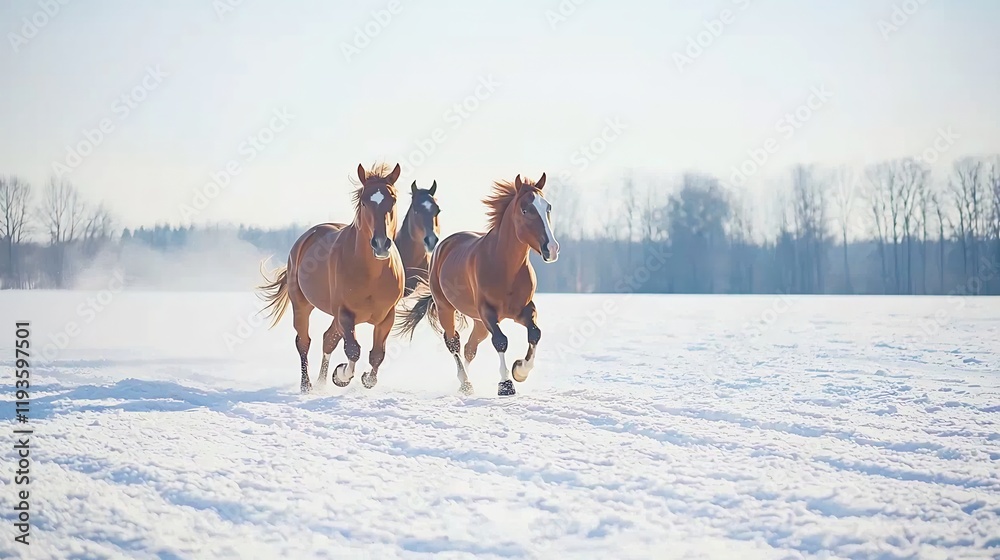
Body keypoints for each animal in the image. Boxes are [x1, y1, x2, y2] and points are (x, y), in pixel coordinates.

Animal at [257, 162, 405, 394]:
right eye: (364, 202)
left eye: (393, 200)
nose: (381, 244)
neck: (372, 275)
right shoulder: (344, 313)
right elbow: (353, 349)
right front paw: (342, 375)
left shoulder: (387, 316)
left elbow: (377, 355)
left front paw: (365, 379)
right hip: (302, 305)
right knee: (304, 341)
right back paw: (307, 385)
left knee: (327, 339)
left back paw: (320, 382)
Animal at [395, 173, 559, 396]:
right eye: (526, 210)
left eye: (547, 207)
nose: (552, 249)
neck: (505, 267)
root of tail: (443, 246)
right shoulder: (487, 311)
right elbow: (501, 341)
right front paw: (506, 384)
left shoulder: (524, 309)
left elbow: (535, 333)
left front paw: (520, 371)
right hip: (447, 309)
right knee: (453, 342)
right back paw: (465, 383)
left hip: (479, 323)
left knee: (469, 348)